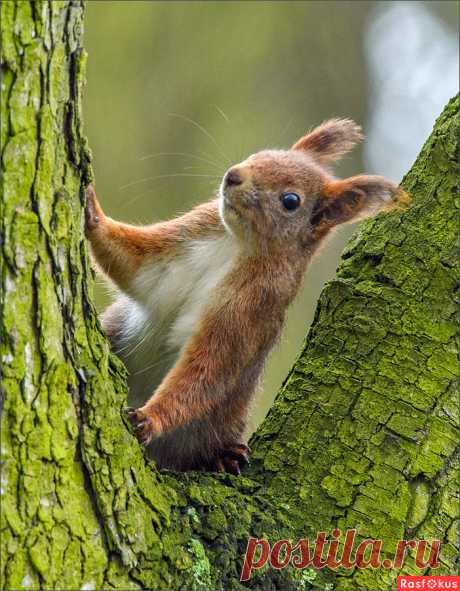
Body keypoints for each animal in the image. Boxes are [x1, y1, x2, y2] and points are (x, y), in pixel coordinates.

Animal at [84, 119, 408, 476]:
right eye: (260, 154)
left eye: (291, 200)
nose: (233, 175)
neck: (237, 245)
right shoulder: (180, 246)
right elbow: (133, 263)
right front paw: (90, 207)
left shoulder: (249, 311)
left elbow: (206, 375)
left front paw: (149, 419)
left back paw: (223, 456)